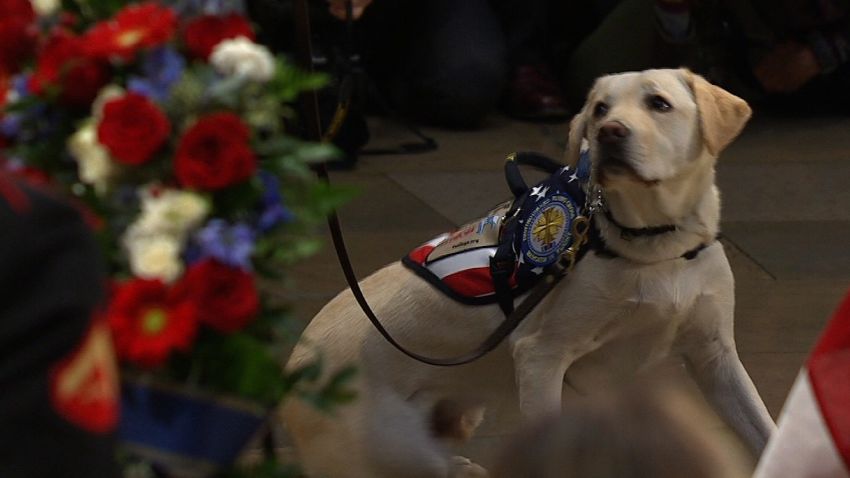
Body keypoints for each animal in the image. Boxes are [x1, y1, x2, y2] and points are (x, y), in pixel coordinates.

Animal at [282, 68, 772, 478]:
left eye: (659, 103)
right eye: (600, 109)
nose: (610, 132)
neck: (656, 246)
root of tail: (293, 368)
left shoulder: (715, 356)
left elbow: (764, 431)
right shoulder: (541, 356)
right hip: (397, 449)